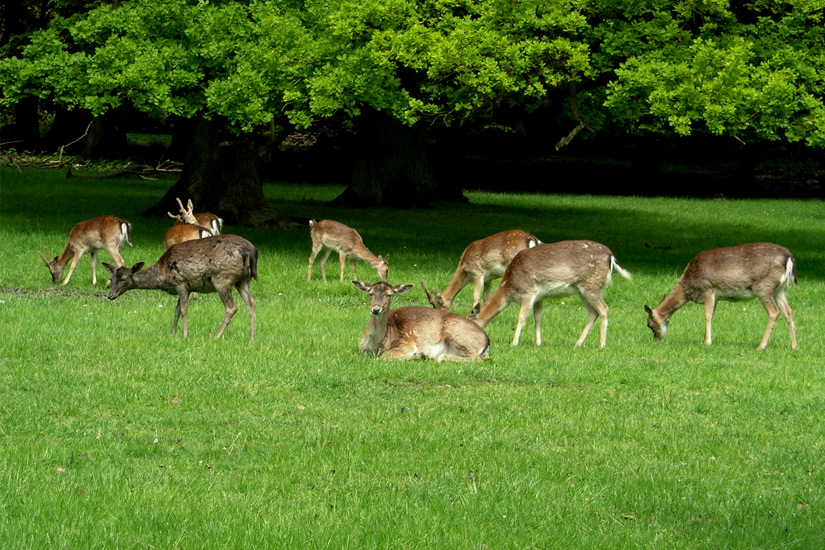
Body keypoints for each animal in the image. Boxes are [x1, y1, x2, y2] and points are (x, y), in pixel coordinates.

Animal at [102, 234, 258, 340]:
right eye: (111, 279)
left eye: (123, 280)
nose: (110, 295)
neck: (162, 275)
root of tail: (250, 250)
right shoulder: (185, 288)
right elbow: (176, 310)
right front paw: (172, 334)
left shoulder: (181, 283)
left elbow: (183, 310)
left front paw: (184, 335)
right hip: (243, 280)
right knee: (251, 303)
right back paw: (252, 337)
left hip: (222, 278)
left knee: (231, 307)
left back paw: (215, 336)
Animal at [352, 282, 490, 364]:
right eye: (370, 293)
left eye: (389, 294)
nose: (376, 309)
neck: (376, 345)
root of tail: (486, 341)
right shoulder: (361, 350)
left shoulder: (406, 342)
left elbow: (383, 357)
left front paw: (419, 355)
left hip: (459, 335)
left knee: (476, 359)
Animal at [470, 242, 632, 350]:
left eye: (468, 320)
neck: (509, 287)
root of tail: (611, 257)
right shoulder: (539, 297)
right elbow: (537, 317)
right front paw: (538, 343)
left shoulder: (529, 291)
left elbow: (522, 317)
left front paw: (514, 343)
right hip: (582, 291)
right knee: (593, 312)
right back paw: (578, 343)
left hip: (592, 286)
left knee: (604, 309)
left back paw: (601, 345)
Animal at [644, 244, 800, 352]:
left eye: (649, 325)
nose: (657, 340)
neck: (689, 285)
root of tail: (789, 257)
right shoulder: (717, 297)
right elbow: (712, 315)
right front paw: (705, 339)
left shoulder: (708, 288)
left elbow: (707, 315)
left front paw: (707, 343)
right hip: (780, 289)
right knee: (788, 311)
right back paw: (794, 346)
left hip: (763, 286)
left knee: (774, 312)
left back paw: (761, 346)